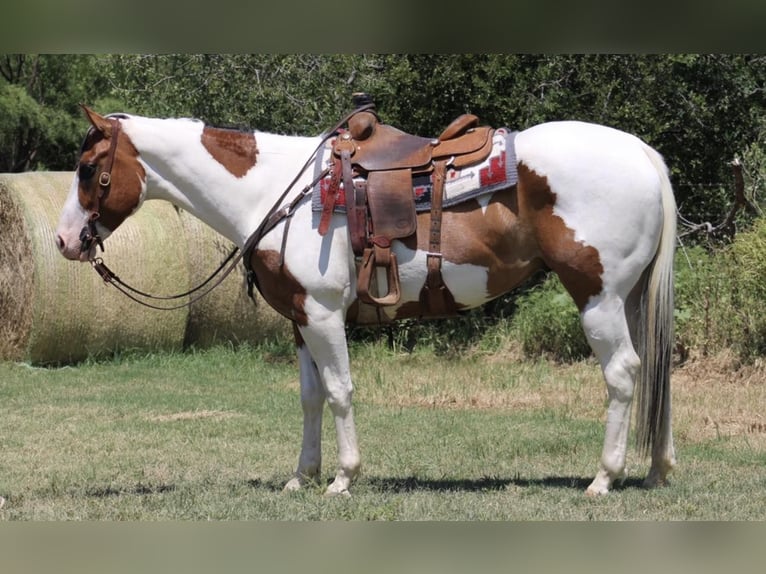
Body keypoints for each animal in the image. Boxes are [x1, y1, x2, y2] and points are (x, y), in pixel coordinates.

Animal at [55, 106, 680, 498]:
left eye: (87, 170)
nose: (62, 241)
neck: (275, 193)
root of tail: (642, 153)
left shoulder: (324, 314)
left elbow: (339, 391)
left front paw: (343, 478)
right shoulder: (301, 320)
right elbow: (309, 397)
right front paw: (302, 476)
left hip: (597, 297)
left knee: (623, 374)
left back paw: (604, 478)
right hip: (627, 298)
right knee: (655, 370)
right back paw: (657, 469)